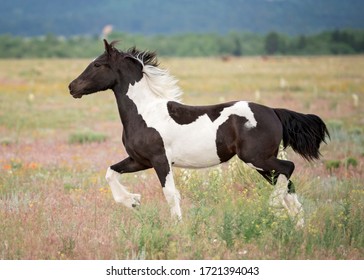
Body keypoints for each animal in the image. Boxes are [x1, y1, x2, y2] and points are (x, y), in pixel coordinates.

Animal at [69, 40, 330, 225]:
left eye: (97, 64)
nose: (72, 87)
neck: (145, 112)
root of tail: (274, 112)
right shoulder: (139, 160)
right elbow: (110, 172)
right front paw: (132, 201)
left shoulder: (159, 160)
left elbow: (170, 194)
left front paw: (177, 227)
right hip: (263, 163)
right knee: (288, 186)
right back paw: (297, 229)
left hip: (257, 158)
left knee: (288, 169)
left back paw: (275, 207)